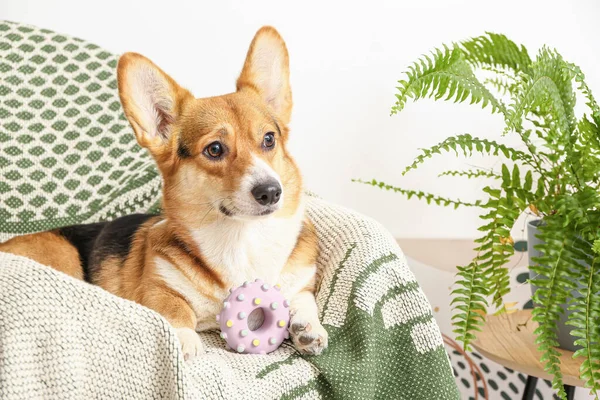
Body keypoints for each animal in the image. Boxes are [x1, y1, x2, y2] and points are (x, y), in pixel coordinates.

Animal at [0, 27, 328, 360]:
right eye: (215, 149)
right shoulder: (158, 288)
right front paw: (184, 340)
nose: (271, 192)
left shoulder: (300, 280)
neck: (242, 239)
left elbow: (303, 298)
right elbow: (174, 310)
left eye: (269, 139)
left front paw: (307, 328)